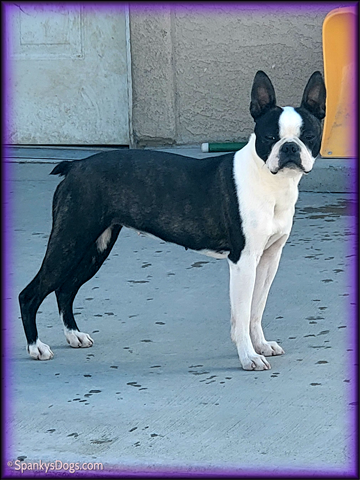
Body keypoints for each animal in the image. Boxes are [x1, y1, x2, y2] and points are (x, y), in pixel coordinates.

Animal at [18, 71, 324, 372]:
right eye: (270, 136)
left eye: (309, 135)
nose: (289, 148)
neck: (270, 182)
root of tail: (76, 166)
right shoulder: (243, 260)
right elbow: (241, 314)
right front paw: (248, 356)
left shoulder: (270, 257)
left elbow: (256, 309)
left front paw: (261, 345)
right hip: (70, 240)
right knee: (31, 293)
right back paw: (36, 347)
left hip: (95, 247)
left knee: (65, 289)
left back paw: (73, 335)